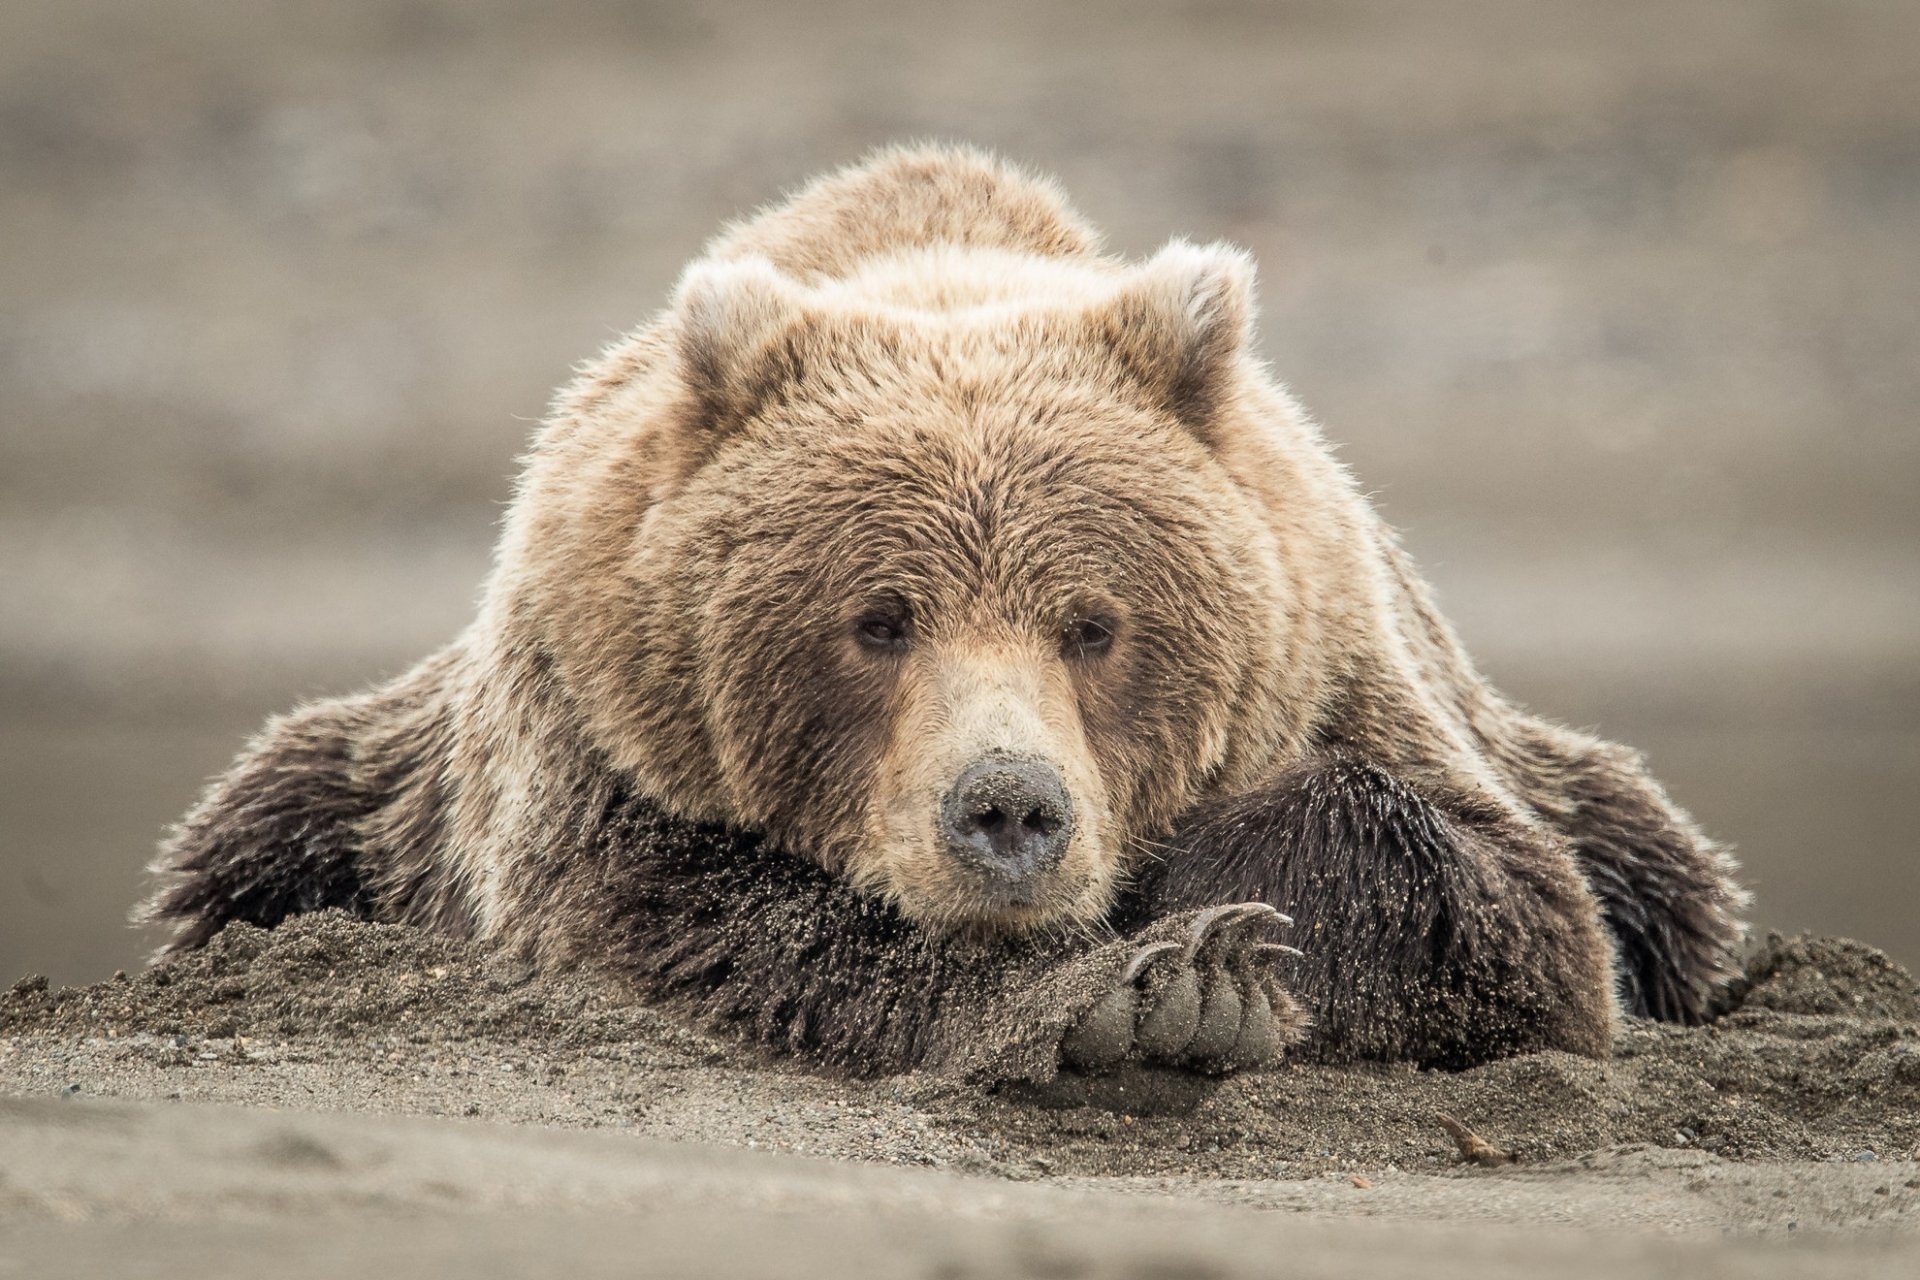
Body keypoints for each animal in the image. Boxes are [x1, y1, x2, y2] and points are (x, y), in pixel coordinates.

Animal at [140, 144, 1748, 1083]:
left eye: (1095, 624)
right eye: (879, 620)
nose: (1010, 809)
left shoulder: (1343, 667)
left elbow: (1506, 906)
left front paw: (1213, 934)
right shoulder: (593, 738)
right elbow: (698, 921)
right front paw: (1144, 994)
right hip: (361, 794)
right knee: (255, 844)